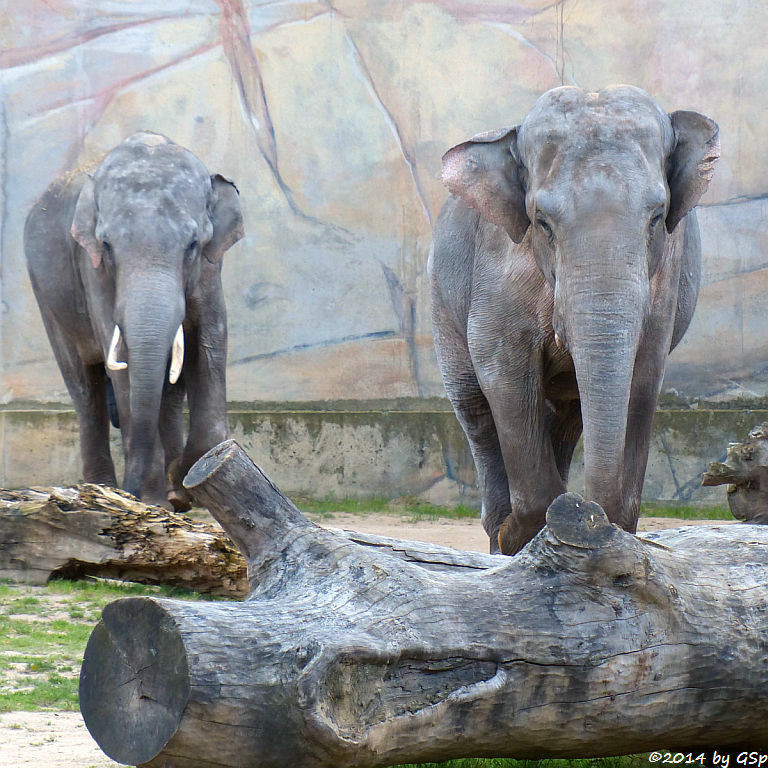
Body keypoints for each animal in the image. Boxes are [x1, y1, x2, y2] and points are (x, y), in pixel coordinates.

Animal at [26, 130, 243, 508]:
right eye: (107, 245)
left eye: (193, 245)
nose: (132, 489)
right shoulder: (92, 267)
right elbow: (121, 362)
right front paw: (154, 502)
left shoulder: (210, 268)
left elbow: (210, 342)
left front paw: (191, 474)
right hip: (46, 298)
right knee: (85, 389)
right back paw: (105, 488)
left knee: (169, 387)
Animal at [432, 87, 720, 556]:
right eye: (542, 222)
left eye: (657, 218)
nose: (590, 513)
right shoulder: (497, 265)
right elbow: (502, 373)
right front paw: (519, 532)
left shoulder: (666, 278)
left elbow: (642, 380)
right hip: (441, 299)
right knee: (473, 405)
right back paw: (499, 536)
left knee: (567, 420)